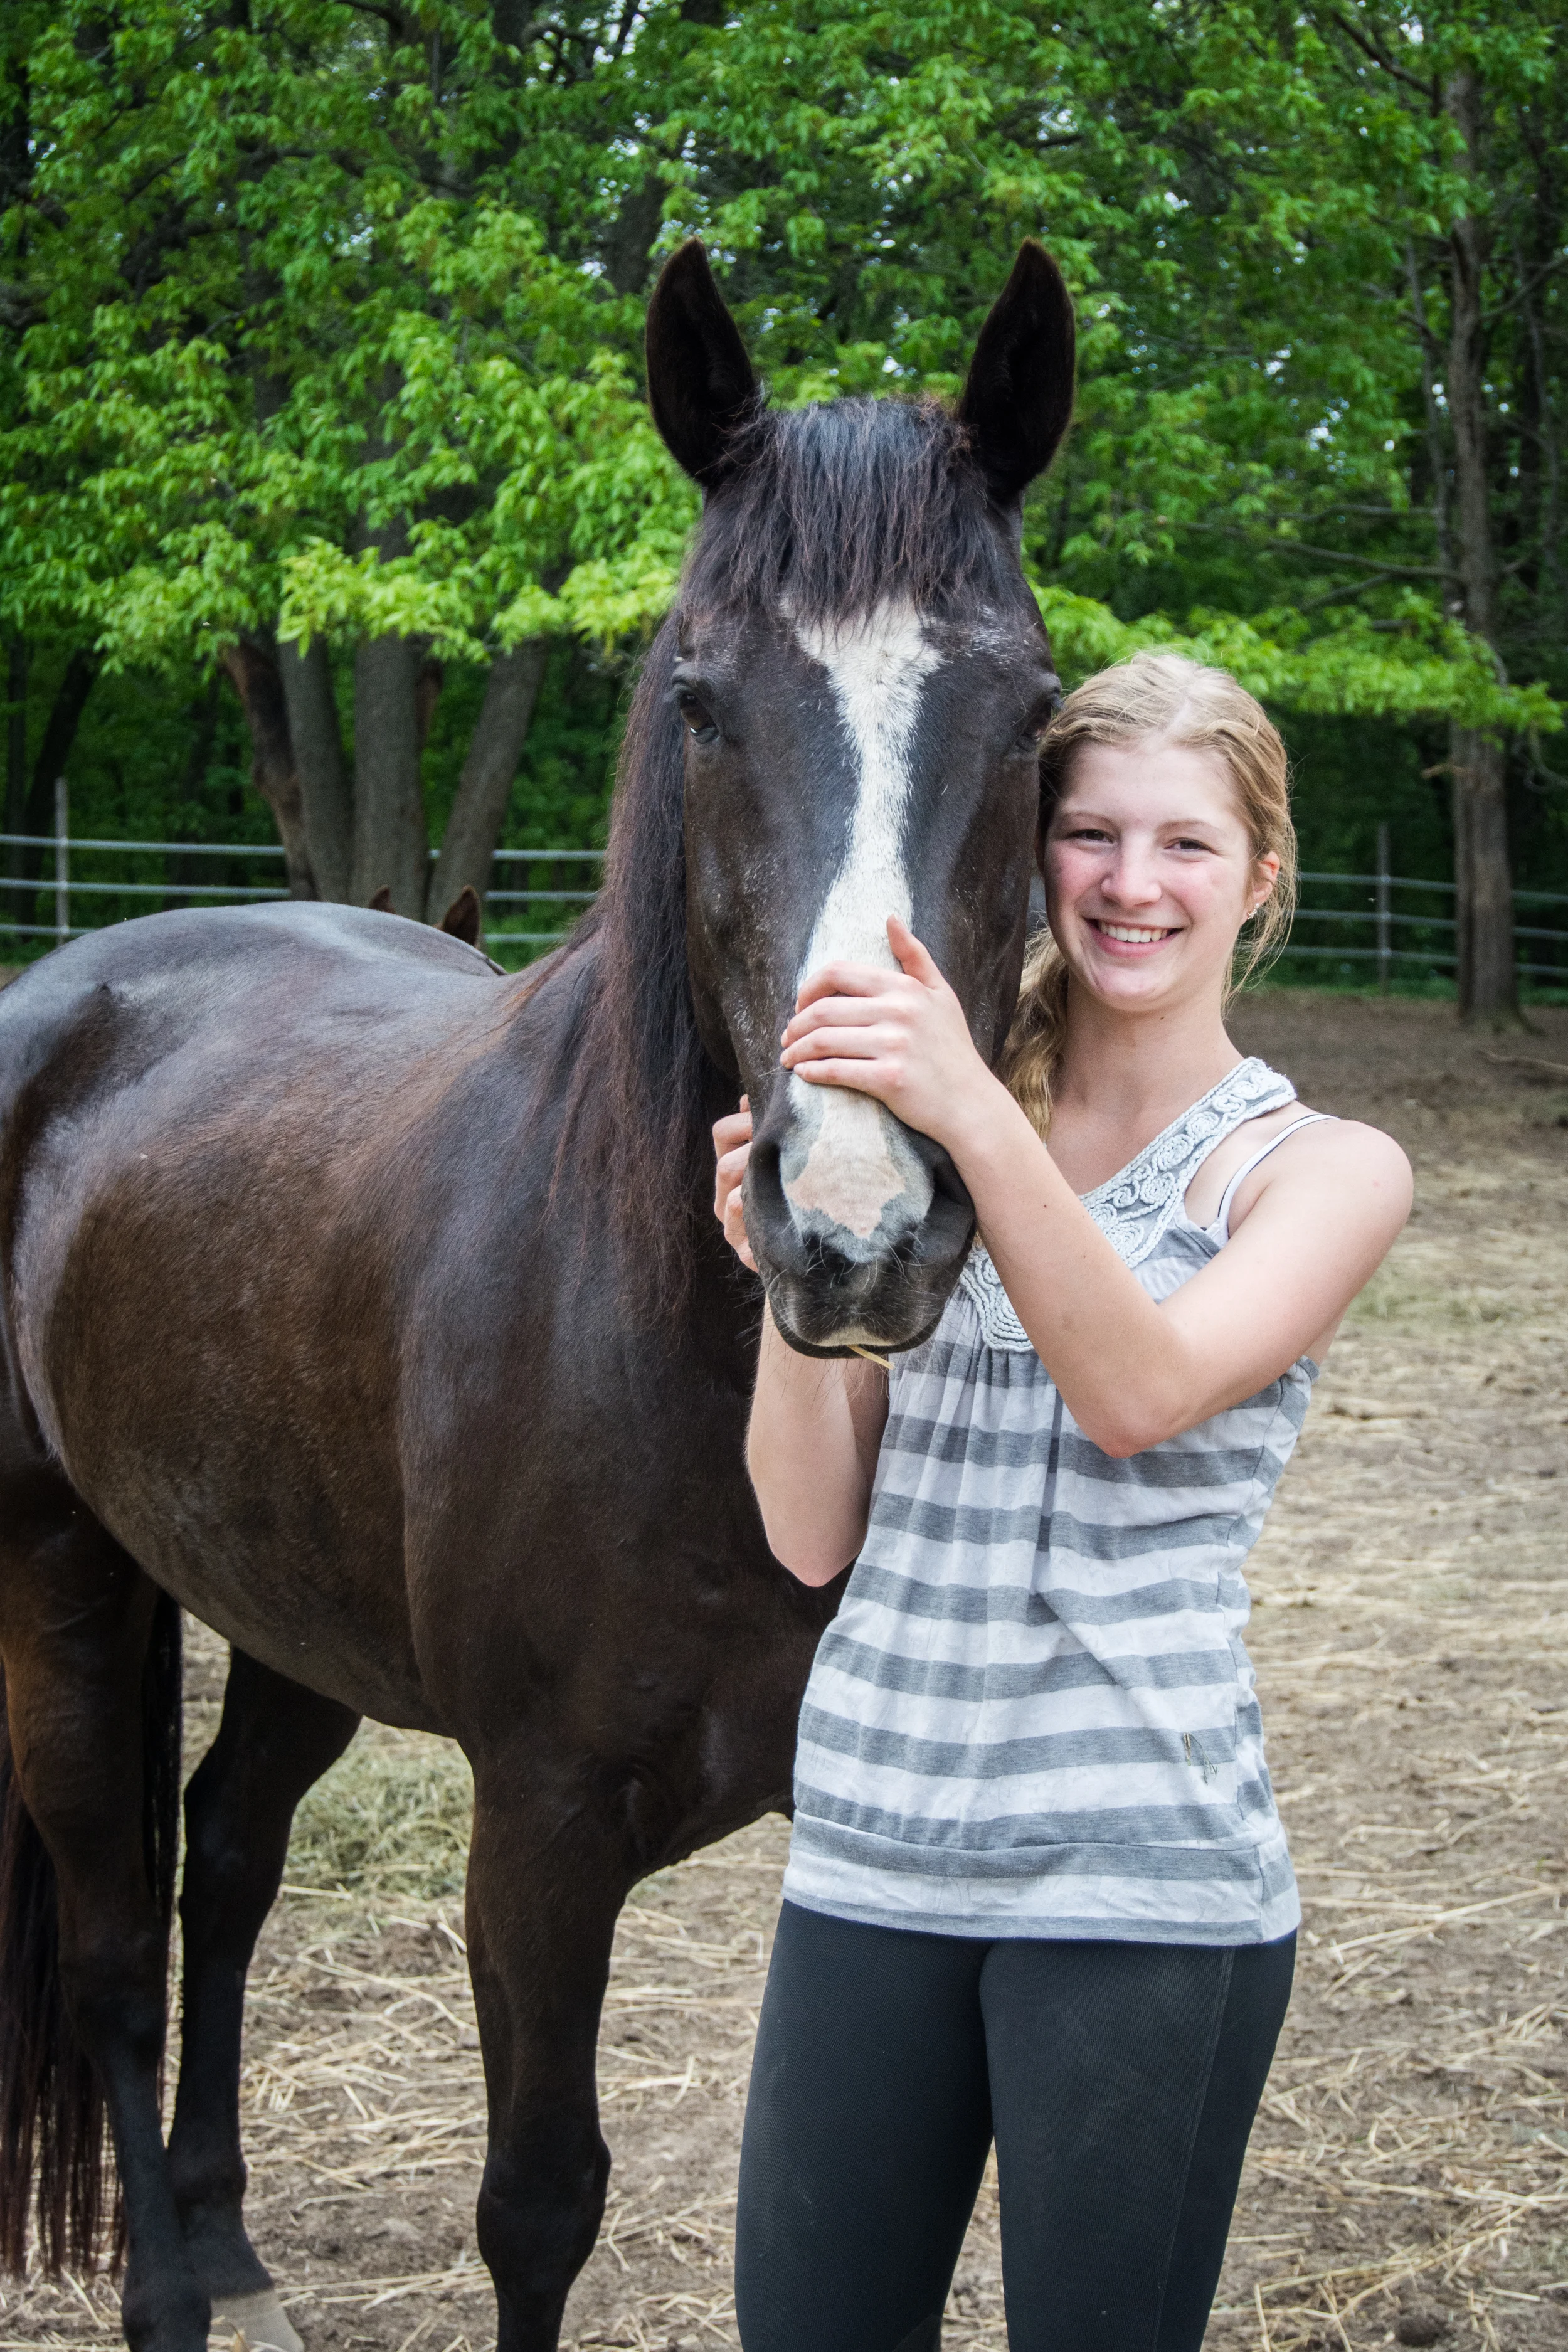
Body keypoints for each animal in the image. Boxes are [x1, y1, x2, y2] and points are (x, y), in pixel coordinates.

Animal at [0, 237, 1073, 2352]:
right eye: (701, 702)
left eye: (1026, 706)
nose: (853, 1228)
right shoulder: (542, 1827)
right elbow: (538, 2202)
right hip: (60, 1582)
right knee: (105, 1941)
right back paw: (164, 2289)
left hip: (286, 1604)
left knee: (226, 1857)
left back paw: (223, 2231)